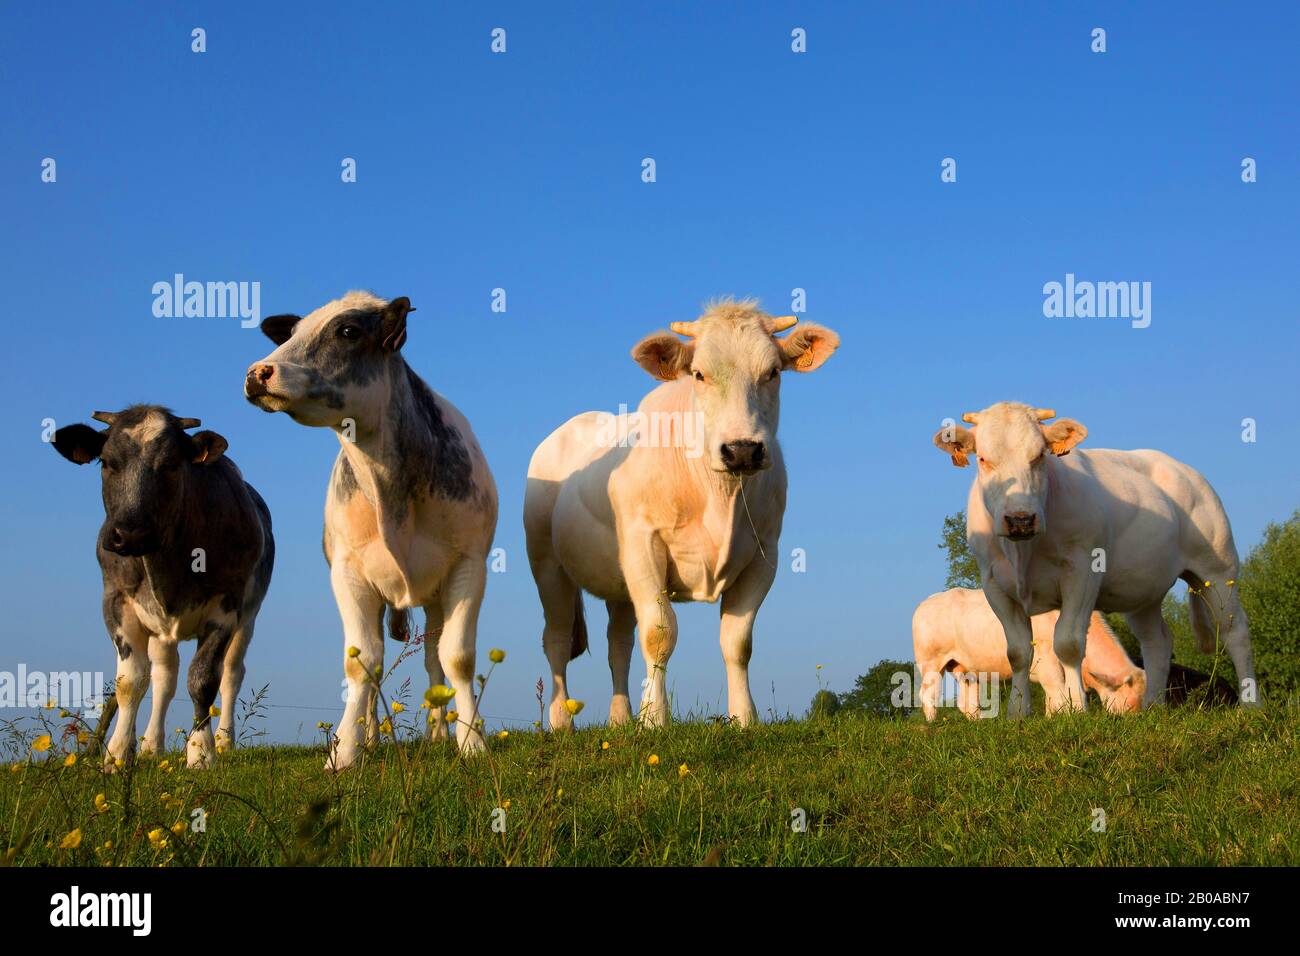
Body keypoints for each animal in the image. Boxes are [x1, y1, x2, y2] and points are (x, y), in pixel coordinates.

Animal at [53, 405, 274, 770]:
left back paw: (224, 741)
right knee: (164, 679)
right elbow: (131, 682)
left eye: (171, 465)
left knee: (231, 673)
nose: (130, 533)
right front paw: (117, 754)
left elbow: (203, 679)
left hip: (249, 616)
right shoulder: (116, 602)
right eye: (107, 462)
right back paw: (152, 746)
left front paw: (201, 752)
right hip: (161, 632)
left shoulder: (226, 606)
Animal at [244, 290, 496, 770]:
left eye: (347, 331)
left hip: (434, 598)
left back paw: (437, 733)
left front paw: (471, 741)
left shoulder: (469, 565)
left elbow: (456, 658)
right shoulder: (348, 573)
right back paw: (371, 738)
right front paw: (344, 753)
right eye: (291, 333)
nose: (256, 373)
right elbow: (361, 663)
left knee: (433, 660)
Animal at [527, 303, 842, 728]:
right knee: (557, 639)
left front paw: (744, 717)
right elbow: (659, 635)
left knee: (618, 644)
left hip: (618, 581)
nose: (742, 449)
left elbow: (737, 641)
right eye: (699, 374)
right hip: (548, 565)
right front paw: (655, 720)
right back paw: (562, 721)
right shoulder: (644, 545)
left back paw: (620, 718)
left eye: (773, 372)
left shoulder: (765, 555)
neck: (719, 495)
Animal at [909, 587, 1144, 723]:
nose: (1136, 722)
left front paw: (1051, 719)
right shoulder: (1046, 661)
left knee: (967, 702)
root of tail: (926, 602)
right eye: (1130, 702)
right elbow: (1057, 692)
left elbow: (1051, 697)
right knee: (927, 695)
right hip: (930, 662)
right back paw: (932, 723)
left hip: (964, 669)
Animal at [930, 400, 1253, 712]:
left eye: (1040, 456)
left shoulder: (1083, 571)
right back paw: (1153, 707)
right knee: (1157, 641)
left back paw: (1251, 706)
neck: (1023, 551)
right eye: (983, 459)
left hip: (1217, 570)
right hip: (1143, 592)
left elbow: (1068, 644)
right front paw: (1018, 713)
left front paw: (1077, 709)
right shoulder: (994, 583)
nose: (1020, 519)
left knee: (1235, 632)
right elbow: (1018, 652)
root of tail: (1185, 470)